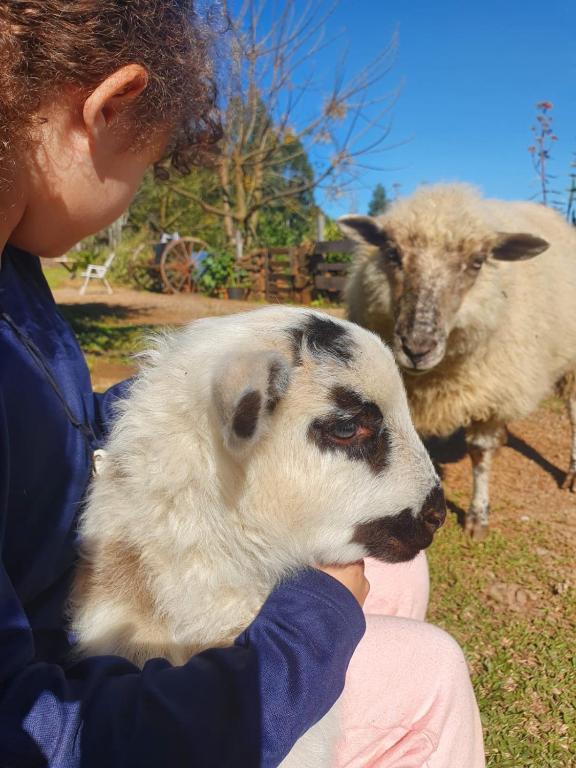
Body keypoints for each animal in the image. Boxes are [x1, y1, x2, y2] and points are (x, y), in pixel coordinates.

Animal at [339, 182, 576, 539]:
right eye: (391, 253)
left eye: (478, 262)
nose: (417, 347)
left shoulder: (493, 389)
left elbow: (479, 454)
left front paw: (478, 517)